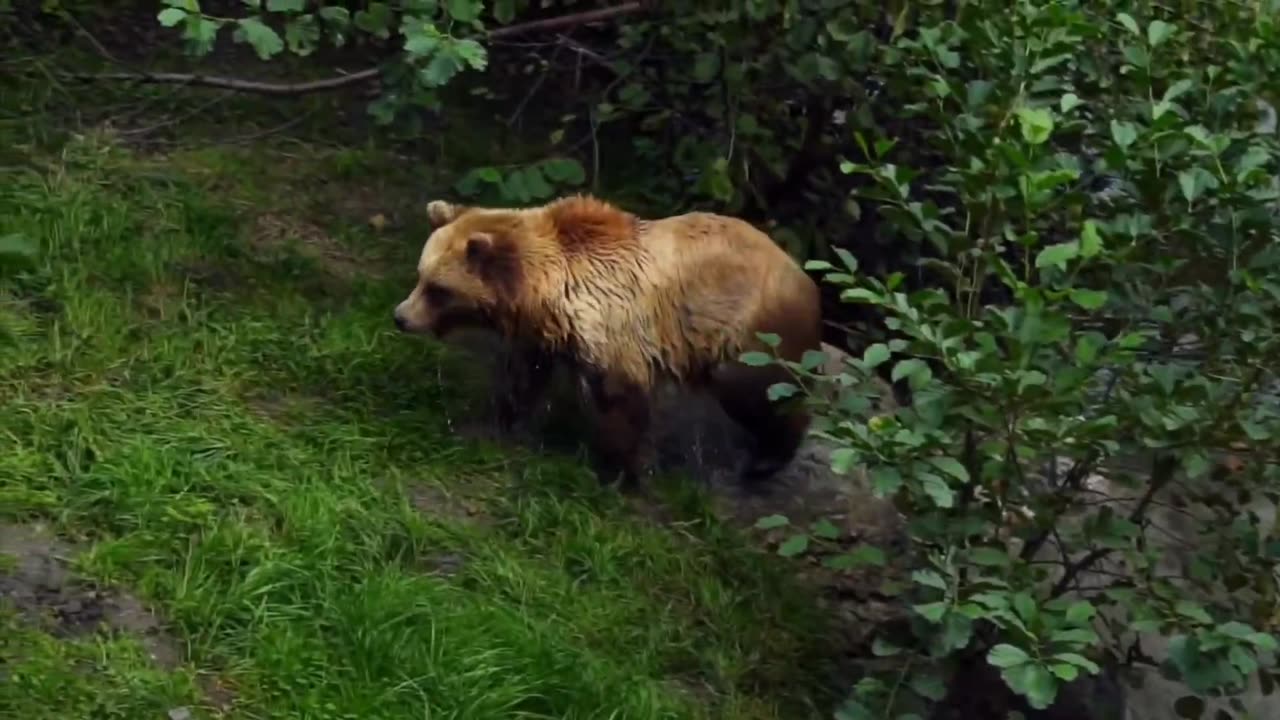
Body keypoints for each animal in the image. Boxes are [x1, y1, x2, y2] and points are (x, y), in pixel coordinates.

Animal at [391, 193, 819, 489]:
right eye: (420, 274)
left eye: (438, 289)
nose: (400, 316)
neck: (543, 293)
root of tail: (805, 277)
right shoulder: (543, 336)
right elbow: (521, 378)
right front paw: (495, 422)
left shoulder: (614, 328)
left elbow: (620, 398)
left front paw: (620, 472)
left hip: (746, 331)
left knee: (760, 391)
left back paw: (766, 461)